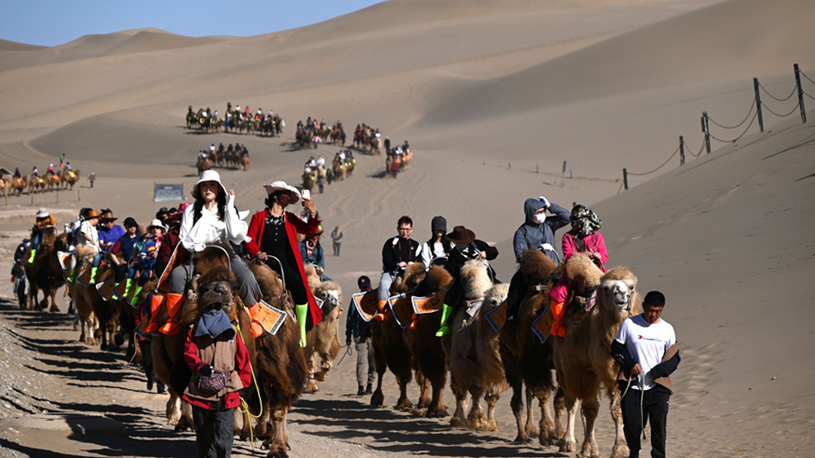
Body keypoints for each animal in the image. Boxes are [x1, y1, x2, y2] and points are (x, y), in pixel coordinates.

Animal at [553, 256, 641, 458]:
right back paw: (568, 442)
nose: (621, 298)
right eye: (607, 288)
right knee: (572, 402)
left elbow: (618, 409)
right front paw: (589, 447)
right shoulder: (583, 370)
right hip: (565, 365)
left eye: (631, 286)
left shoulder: (618, 373)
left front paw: (621, 448)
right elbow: (590, 409)